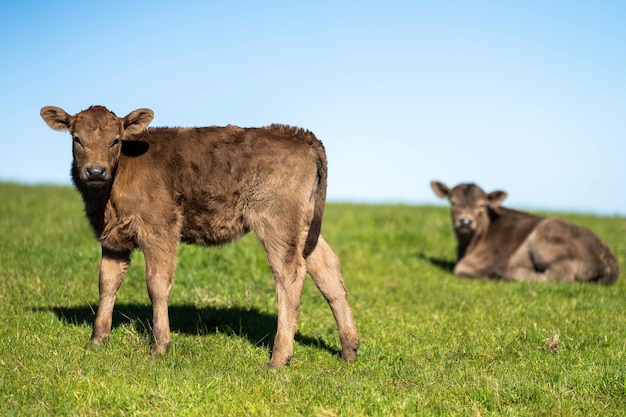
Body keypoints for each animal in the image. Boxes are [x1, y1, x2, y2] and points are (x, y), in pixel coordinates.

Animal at [40, 105, 360, 368]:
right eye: (77, 138)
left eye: (115, 140)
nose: (96, 171)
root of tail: (297, 133)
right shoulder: (112, 239)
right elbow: (107, 283)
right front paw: (97, 340)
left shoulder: (159, 229)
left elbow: (156, 284)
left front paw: (160, 346)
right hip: (303, 226)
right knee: (326, 268)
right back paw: (349, 349)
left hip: (276, 221)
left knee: (290, 273)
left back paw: (279, 358)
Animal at [432, 180, 616, 284]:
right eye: (453, 202)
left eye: (481, 205)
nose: (465, 221)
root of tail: (608, 257)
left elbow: (459, 268)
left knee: (560, 275)